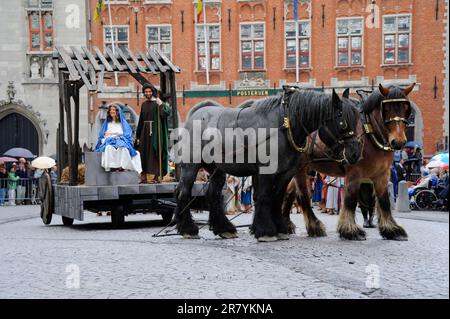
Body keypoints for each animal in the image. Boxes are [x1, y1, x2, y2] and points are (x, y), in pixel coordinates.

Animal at [173, 87, 362, 242]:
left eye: (357, 120)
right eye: (342, 122)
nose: (355, 153)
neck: (284, 125)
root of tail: (195, 115)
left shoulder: (286, 173)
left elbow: (277, 197)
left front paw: (279, 228)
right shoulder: (266, 170)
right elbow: (264, 197)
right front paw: (266, 231)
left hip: (217, 169)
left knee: (213, 194)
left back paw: (224, 228)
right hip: (191, 166)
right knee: (183, 192)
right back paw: (188, 229)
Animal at [282, 84, 414, 241]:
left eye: (406, 109)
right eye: (386, 109)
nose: (398, 141)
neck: (370, 133)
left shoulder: (382, 174)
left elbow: (384, 201)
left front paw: (391, 229)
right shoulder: (355, 173)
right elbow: (351, 198)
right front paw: (350, 230)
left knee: (289, 193)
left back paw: (286, 224)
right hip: (301, 169)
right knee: (302, 195)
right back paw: (314, 227)